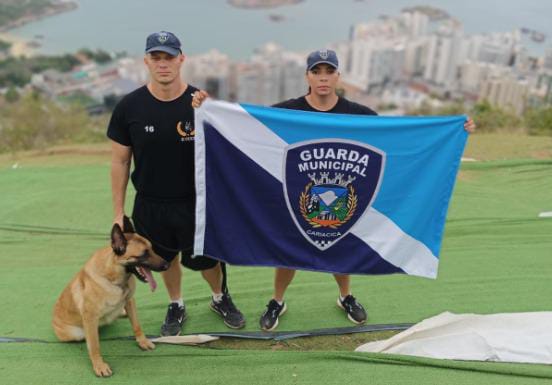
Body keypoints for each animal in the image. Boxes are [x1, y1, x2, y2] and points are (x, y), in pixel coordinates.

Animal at [52, 214, 168, 376]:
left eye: (152, 249)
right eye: (144, 254)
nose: (167, 265)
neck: (114, 278)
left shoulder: (130, 301)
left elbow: (137, 325)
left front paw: (143, 341)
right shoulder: (90, 316)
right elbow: (94, 346)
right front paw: (99, 365)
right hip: (75, 333)